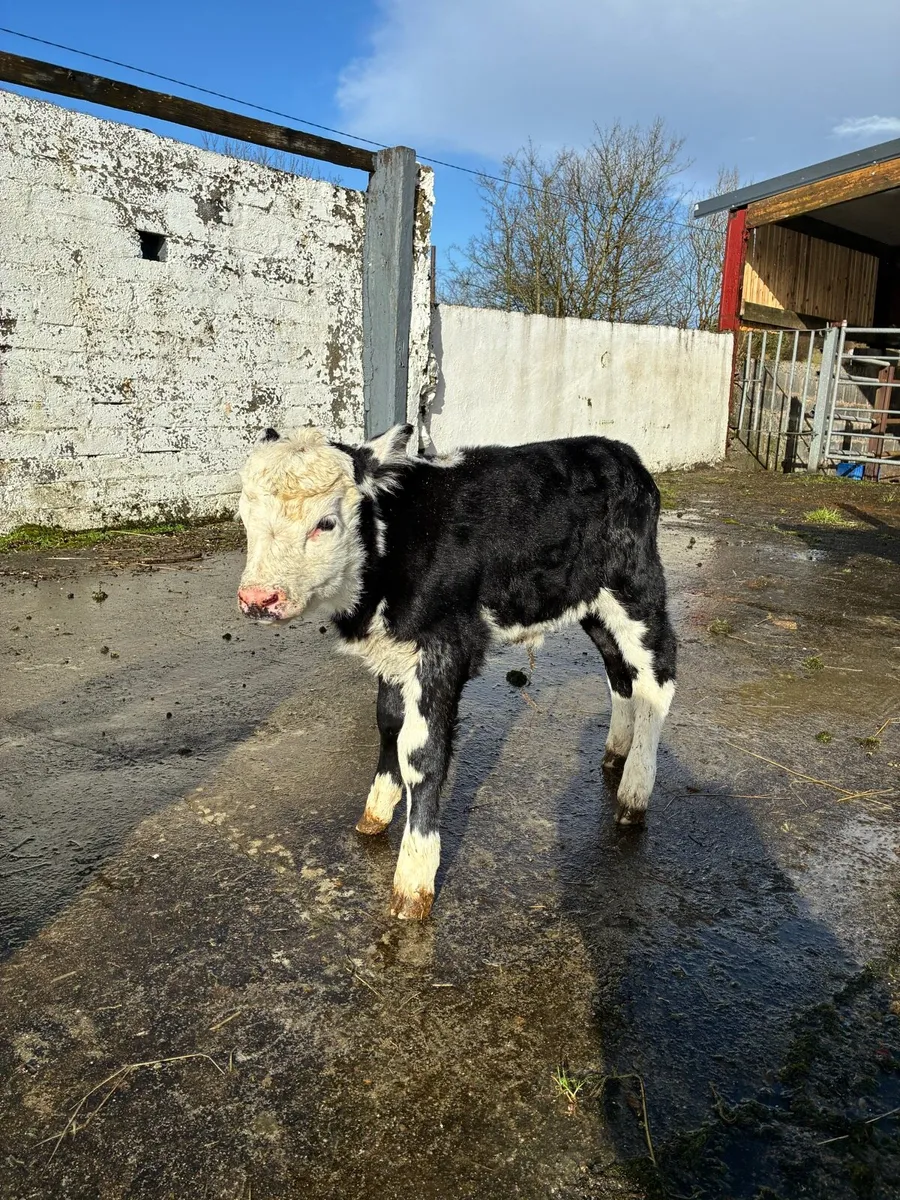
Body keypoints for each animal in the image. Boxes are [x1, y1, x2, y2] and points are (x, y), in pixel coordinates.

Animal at [237, 424, 676, 920]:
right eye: (245, 517)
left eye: (325, 523)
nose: (257, 599)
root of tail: (615, 450)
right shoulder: (394, 650)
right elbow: (388, 724)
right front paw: (376, 811)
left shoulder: (445, 649)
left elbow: (422, 754)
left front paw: (414, 877)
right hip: (590, 602)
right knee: (619, 670)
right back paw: (617, 751)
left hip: (635, 588)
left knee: (658, 675)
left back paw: (634, 791)